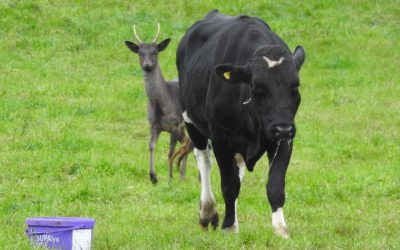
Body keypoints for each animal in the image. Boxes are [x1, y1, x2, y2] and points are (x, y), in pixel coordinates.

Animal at [125, 23, 192, 184]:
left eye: (155, 52)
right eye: (140, 53)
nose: (147, 64)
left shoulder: (175, 125)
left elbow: (169, 152)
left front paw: (169, 178)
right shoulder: (154, 125)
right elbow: (150, 146)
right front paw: (153, 177)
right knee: (188, 142)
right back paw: (183, 175)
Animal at [177, 9, 304, 237]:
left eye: (295, 87)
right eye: (257, 88)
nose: (283, 127)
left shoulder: (284, 140)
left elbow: (275, 185)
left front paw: (281, 230)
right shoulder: (220, 137)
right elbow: (229, 184)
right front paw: (227, 227)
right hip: (191, 120)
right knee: (204, 160)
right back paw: (208, 213)